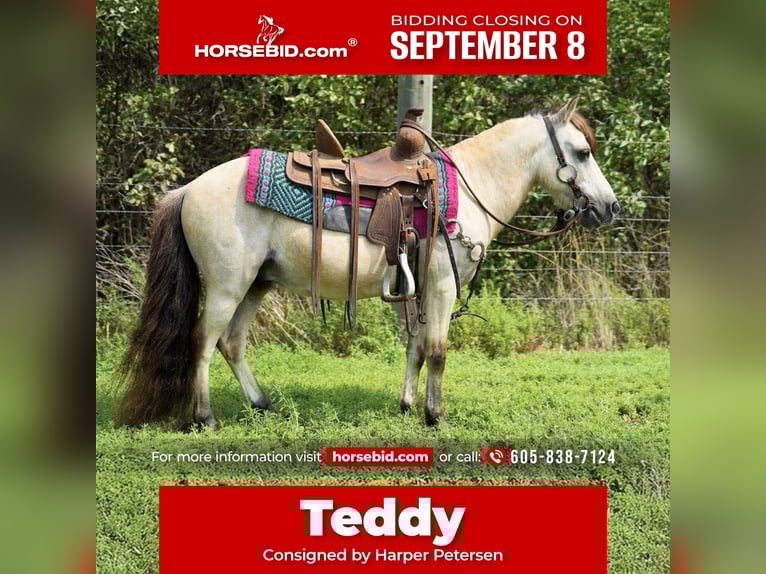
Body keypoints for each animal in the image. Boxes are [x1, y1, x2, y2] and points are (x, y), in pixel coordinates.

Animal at [115, 97, 619, 430]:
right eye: (582, 152)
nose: (610, 207)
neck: (469, 186)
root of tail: (188, 190)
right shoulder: (441, 285)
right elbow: (438, 350)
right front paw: (436, 416)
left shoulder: (416, 288)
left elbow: (416, 348)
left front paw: (408, 405)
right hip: (226, 285)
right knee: (202, 342)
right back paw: (204, 418)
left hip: (256, 284)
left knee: (231, 343)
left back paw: (262, 404)